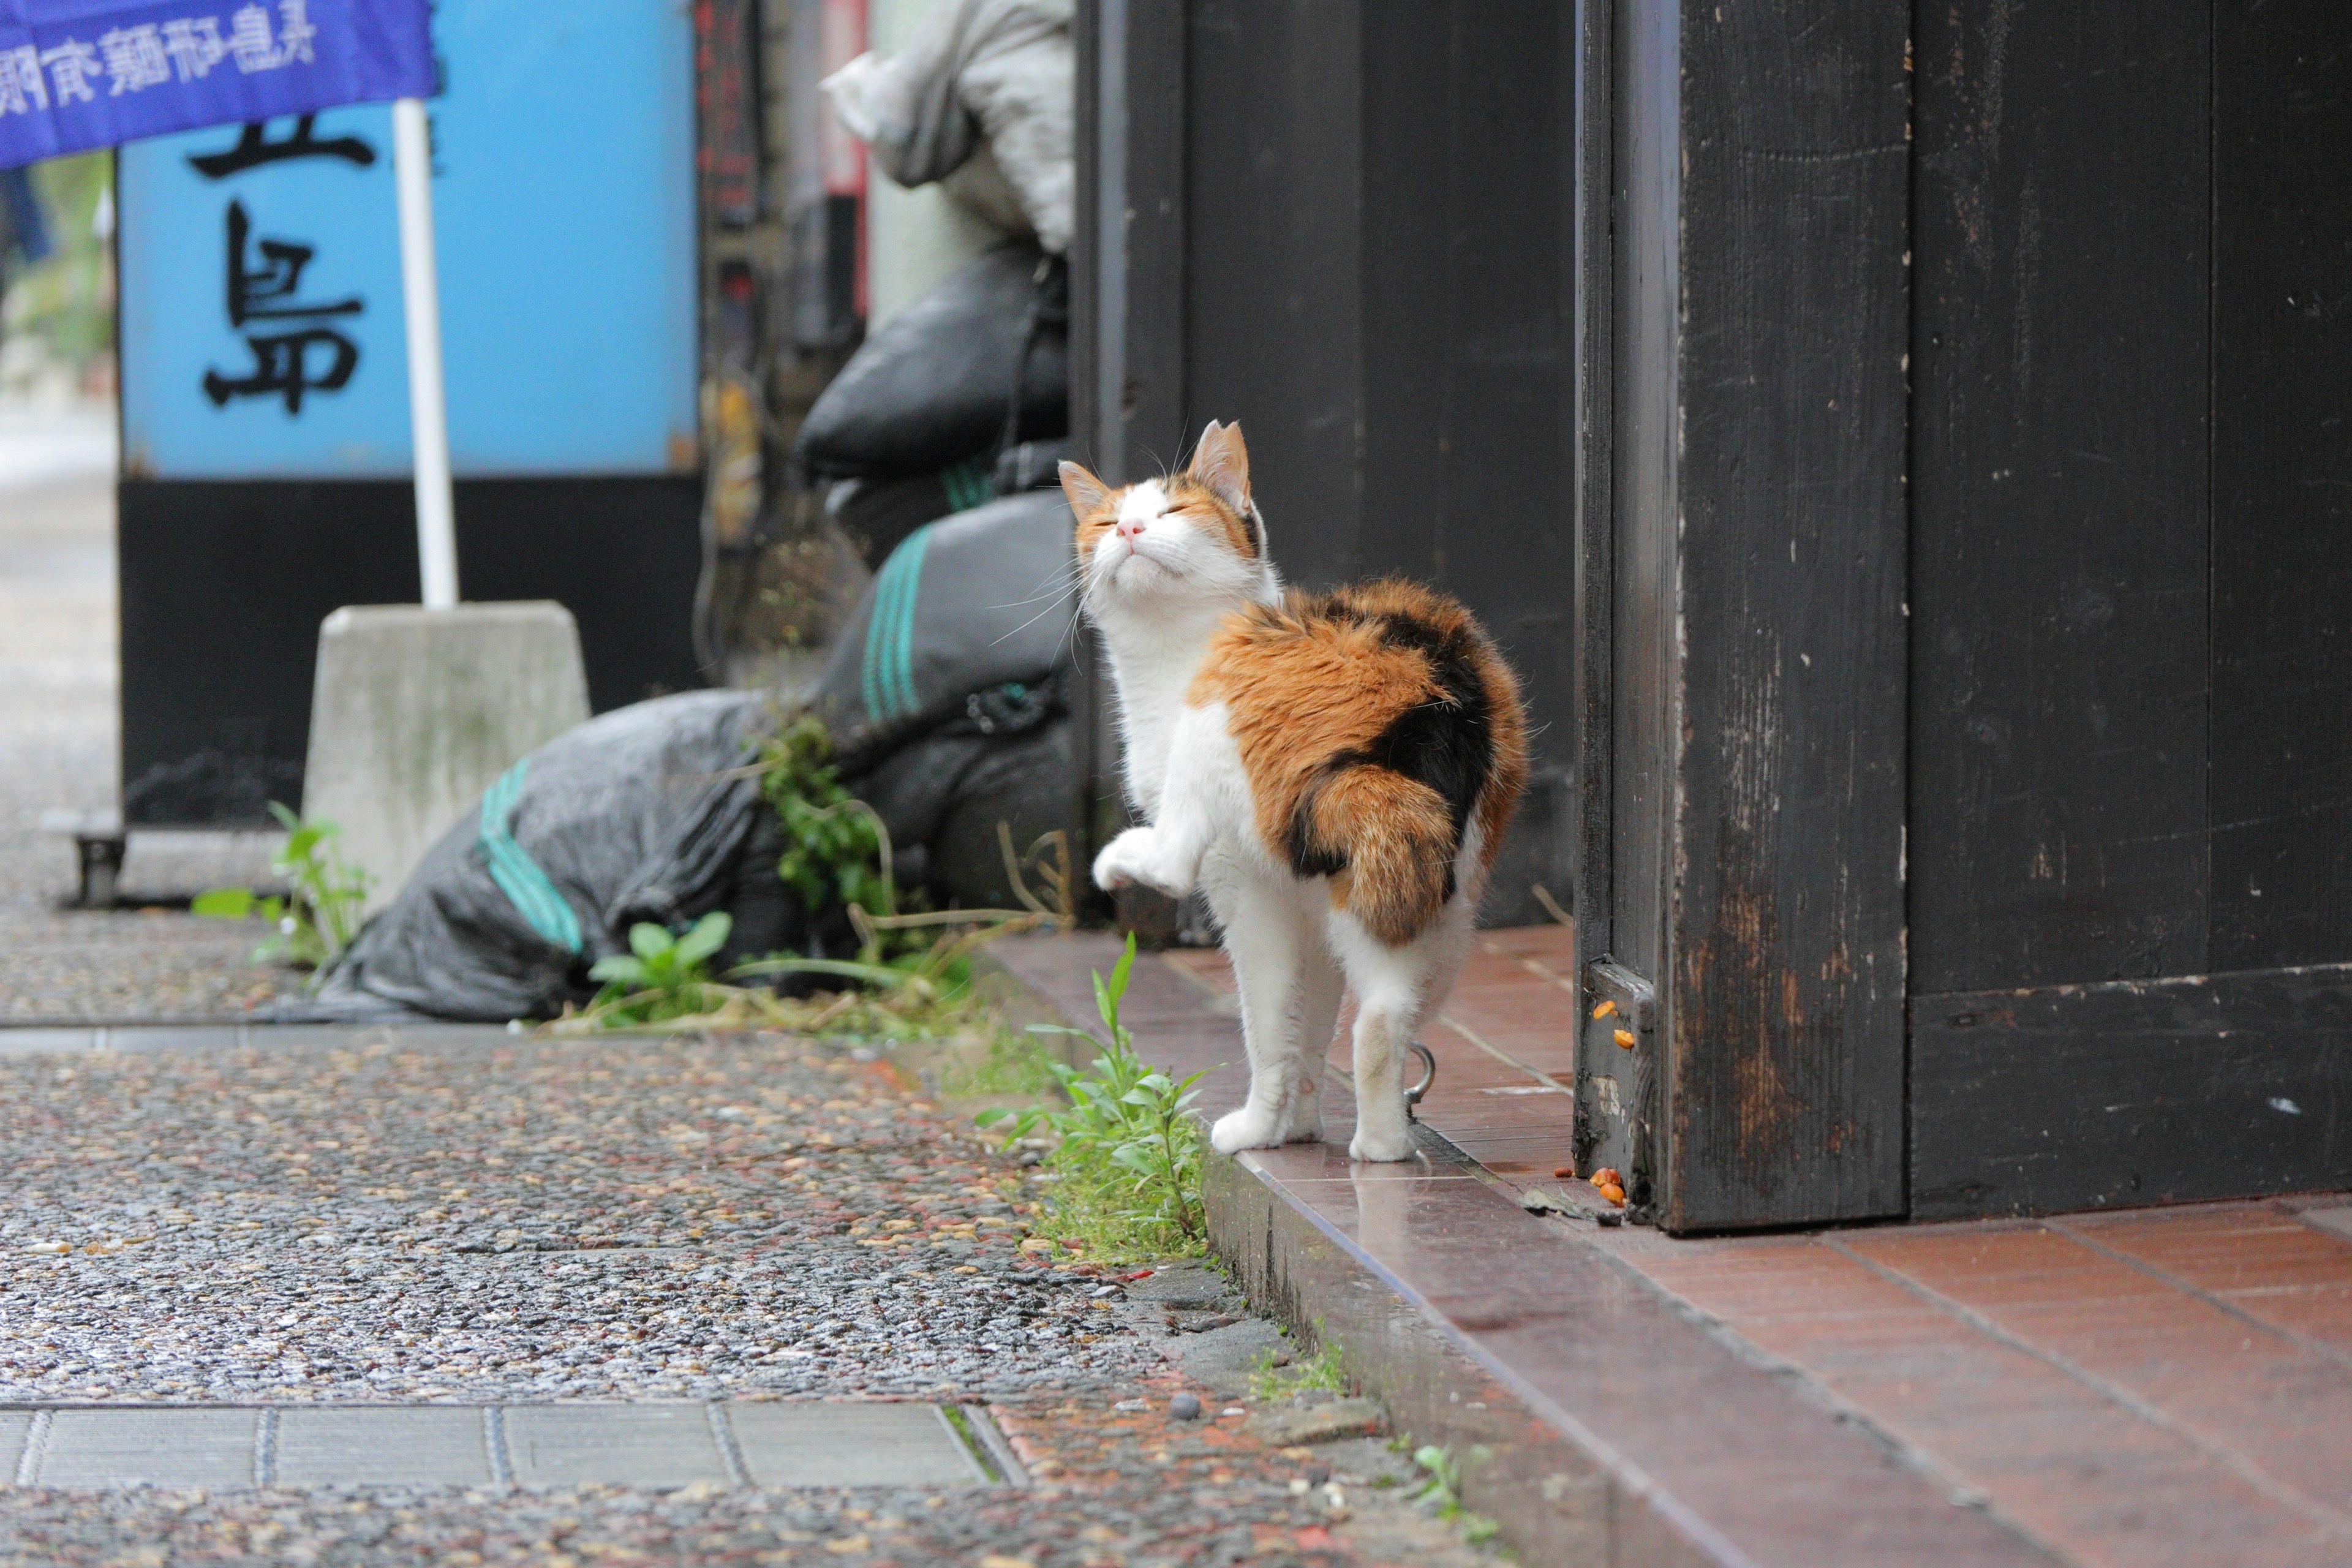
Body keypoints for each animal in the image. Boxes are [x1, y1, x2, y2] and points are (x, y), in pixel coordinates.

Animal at [1063, 423, 1524, 1161]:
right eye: (1105, 522)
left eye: (1174, 511)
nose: (1130, 527)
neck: (1175, 653)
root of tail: (1424, 707)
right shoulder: (1313, 913)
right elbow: (1311, 1032)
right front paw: (1300, 1125)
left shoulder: (1250, 892)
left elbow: (1270, 1028)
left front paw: (1259, 1128)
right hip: (1435, 895)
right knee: (1385, 1012)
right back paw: (1385, 1144)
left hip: (1219, 733)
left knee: (1174, 861)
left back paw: (1122, 859)